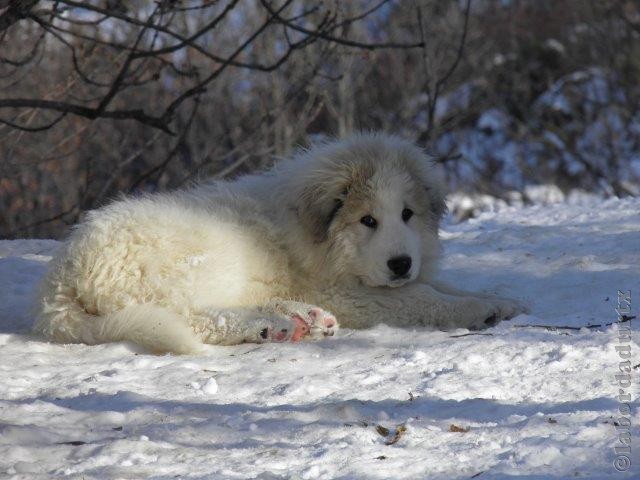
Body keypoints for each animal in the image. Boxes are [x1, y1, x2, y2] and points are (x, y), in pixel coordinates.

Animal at [32, 131, 528, 352]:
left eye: (408, 214)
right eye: (367, 220)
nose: (402, 263)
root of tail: (60, 280)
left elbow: (439, 285)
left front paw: (500, 300)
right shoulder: (349, 293)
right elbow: (423, 297)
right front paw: (477, 309)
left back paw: (300, 318)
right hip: (184, 266)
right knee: (192, 317)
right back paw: (272, 325)